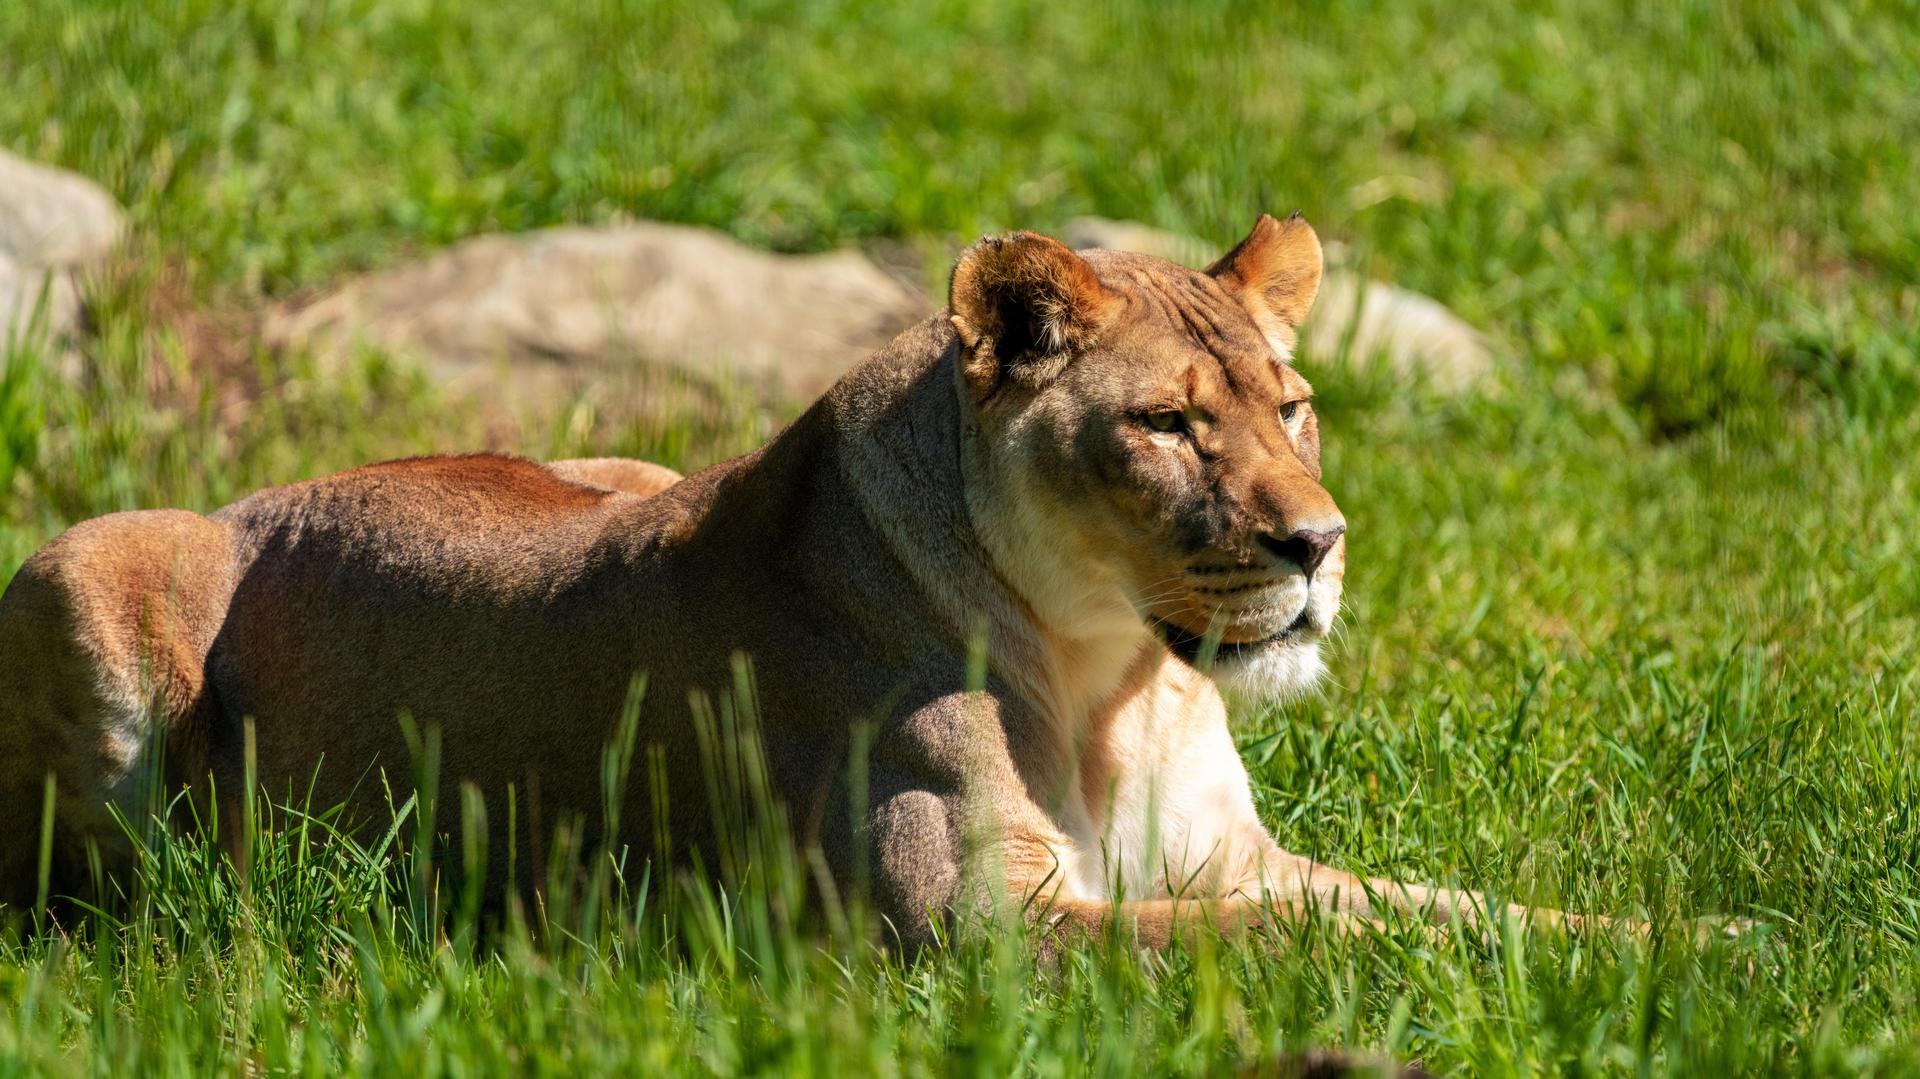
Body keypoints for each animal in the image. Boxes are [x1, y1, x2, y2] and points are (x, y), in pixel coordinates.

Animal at [0, 214, 1612, 945]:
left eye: (1294, 406)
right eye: (1164, 423)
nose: (1318, 545)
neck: (1119, 675)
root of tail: (251, 494)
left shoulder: (1232, 856)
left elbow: (1460, 905)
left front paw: (1661, 946)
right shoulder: (977, 925)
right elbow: (1302, 935)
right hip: (86, 560)